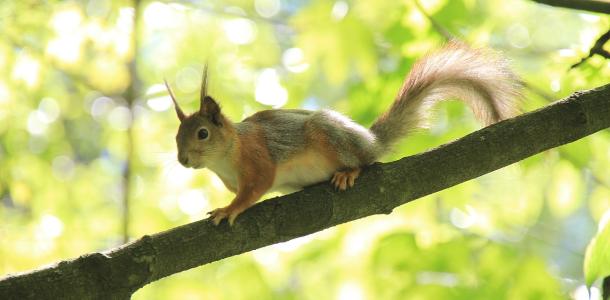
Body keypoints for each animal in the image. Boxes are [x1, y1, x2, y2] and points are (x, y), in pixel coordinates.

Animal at [165, 41, 516, 225]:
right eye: (176, 136)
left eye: (202, 134)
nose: (182, 160)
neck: (225, 157)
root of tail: (372, 141)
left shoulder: (258, 156)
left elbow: (256, 187)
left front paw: (230, 209)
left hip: (328, 134)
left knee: (364, 161)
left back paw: (350, 171)